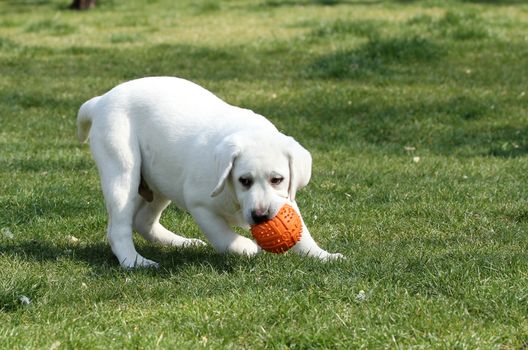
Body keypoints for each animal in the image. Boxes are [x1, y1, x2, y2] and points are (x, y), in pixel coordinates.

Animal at [76, 77, 344, 268]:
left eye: (277, 179)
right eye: (244, 180)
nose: (260, 217)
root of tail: (100, 101)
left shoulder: (285, 198)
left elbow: (302, 232)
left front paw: (323, 255)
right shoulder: (200, 206)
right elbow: (223, 236)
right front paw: (246, 246)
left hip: (161, 179)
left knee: (143, 221)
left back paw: (181, 243)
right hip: (123, 170)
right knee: (119, 228)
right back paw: (136, 262)